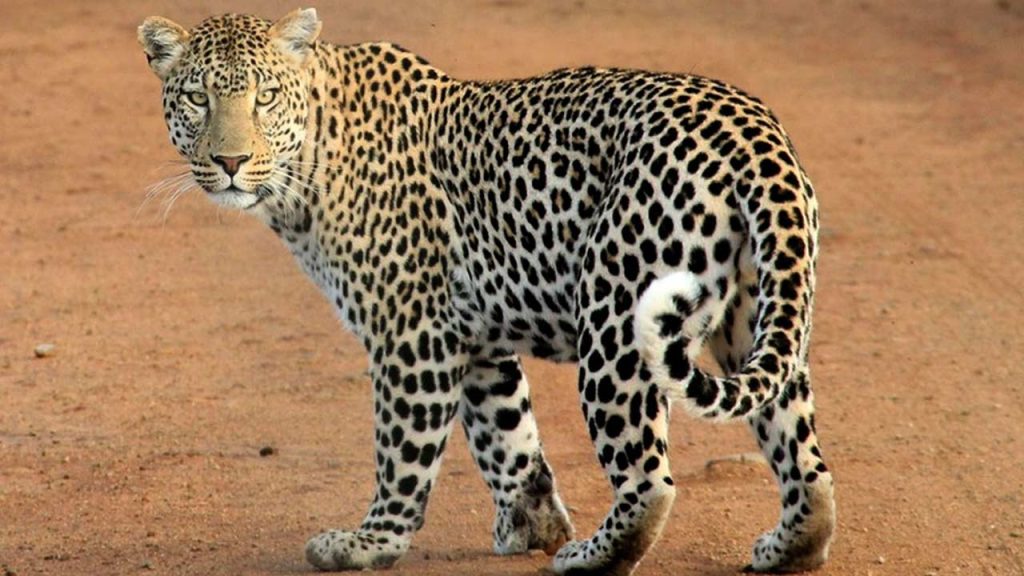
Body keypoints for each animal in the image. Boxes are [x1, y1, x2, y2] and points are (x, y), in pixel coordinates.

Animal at [139, 8, 836, 575]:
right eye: (198, 98)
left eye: (265, 98)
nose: (230, 162)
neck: (308, 164)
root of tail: (755, 133)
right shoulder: (472, 337)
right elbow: (508, 436)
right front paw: (532, 525)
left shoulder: (411, 332)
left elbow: (403, 450)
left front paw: (371, 542)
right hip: (757, 316)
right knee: (803, 456)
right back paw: (789, 547)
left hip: (615, 320)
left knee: (648, 480)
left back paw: (591, 557)